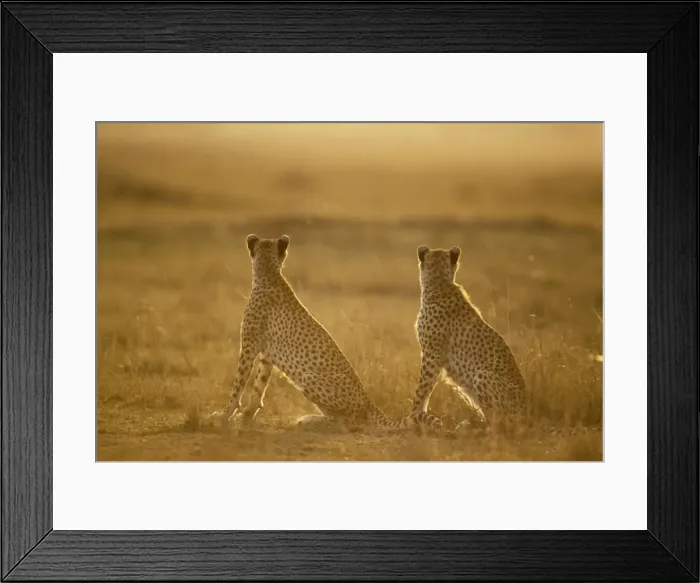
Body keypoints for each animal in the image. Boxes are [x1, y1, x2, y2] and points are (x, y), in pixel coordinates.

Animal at [208, 234, 442, 432]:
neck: (269, 273)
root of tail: (370, 403)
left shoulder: (249, 346)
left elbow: (238, 384)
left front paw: (224, 414)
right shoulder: (267, 355)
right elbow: (259, 387)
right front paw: (246, 416)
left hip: (309, 378)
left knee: (351, 423)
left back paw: (313, 421)